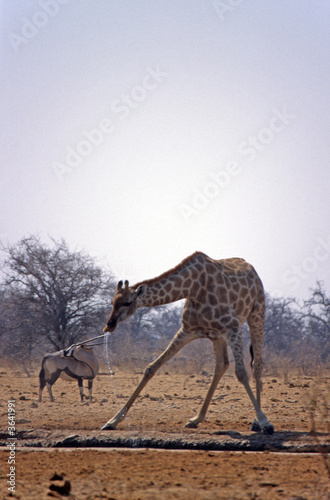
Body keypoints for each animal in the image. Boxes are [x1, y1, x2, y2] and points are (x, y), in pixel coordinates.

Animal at [102, 252, 274, 436]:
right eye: (112, 302)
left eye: (127, 302)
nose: (109, 325)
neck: (194, 289)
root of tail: (251, 269)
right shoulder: (187, 331)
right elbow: (151, 367)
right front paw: (112, 421)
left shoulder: (233, 328)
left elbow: (241, 373)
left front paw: (265, 422)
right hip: (217, 336)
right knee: (221, 365)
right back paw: (196, 419)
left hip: (257, 314)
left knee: (257, 364)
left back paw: (256, 422)